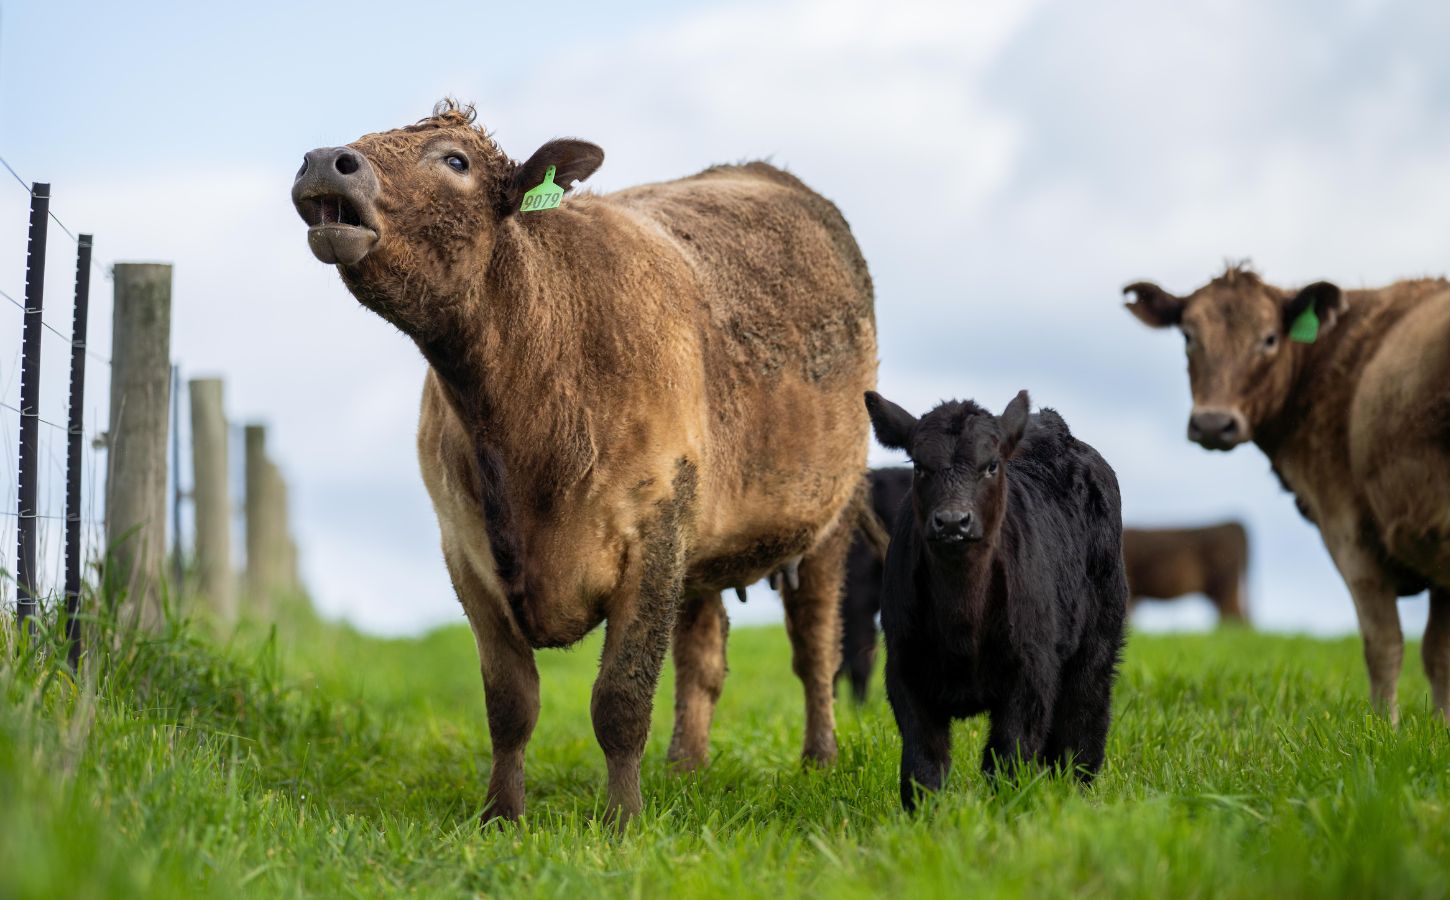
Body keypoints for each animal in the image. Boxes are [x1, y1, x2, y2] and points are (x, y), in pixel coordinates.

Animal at [864, 388, 1125, 811]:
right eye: (919, 466)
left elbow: (1008, 757)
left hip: (1098, 640)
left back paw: (1077, 793)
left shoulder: (1031, 672)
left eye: (990, 466)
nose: (953, 522)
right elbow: (923, 765)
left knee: (1082, 722)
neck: (962, 623)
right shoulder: (904, 670)